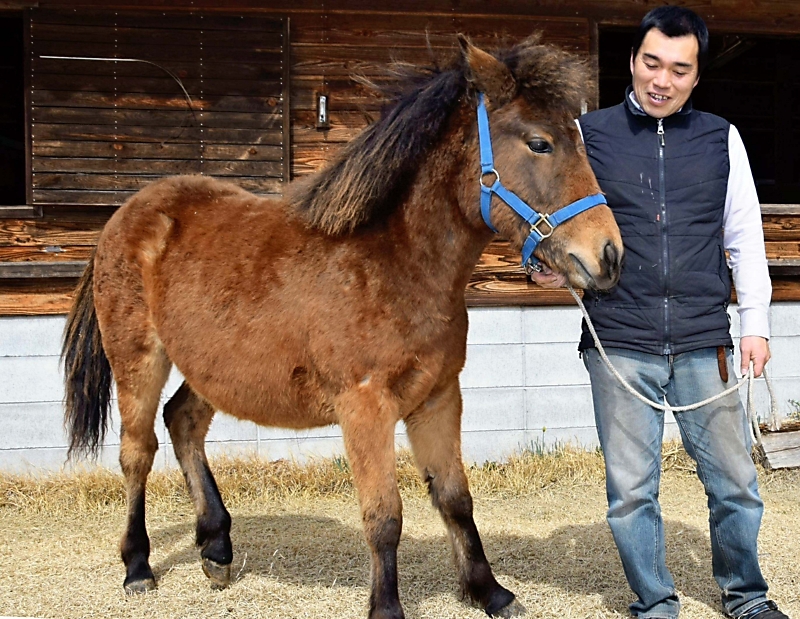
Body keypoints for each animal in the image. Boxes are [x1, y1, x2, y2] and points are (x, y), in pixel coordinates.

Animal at [62, 35, 622, 619]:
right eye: (540, 143)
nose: (608, 255)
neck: (394, 262)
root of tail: (126, 213)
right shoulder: (365, 406)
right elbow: (384, 515)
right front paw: (387, 607)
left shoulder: (438, 397)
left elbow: (455, 498)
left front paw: (489, 591)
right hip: (138, 358)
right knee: (136, 451)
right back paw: (137, 567)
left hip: (212, 366)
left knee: (183, 422)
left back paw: (215, 546)